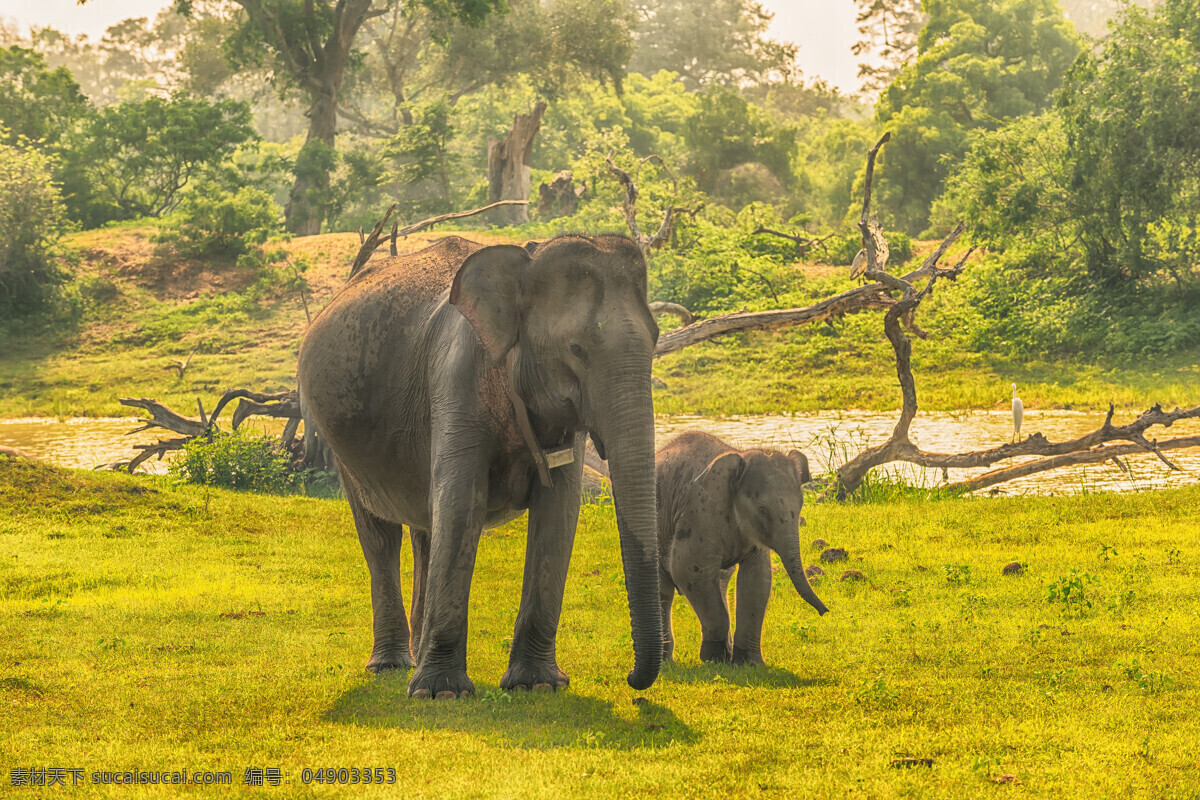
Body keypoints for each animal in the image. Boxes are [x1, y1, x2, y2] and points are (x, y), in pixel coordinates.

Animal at [297, 235, 662, 699]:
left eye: (656, 339)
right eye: (576, 349)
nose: (632, 680)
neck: (525, 263)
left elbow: (559, 513)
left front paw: (538, 686)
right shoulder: (456, 380)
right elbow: (460, 505)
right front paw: (441, 693)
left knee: (425, 529)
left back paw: (416, 653)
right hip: (340, 444)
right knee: (380, 535)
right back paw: (393, 665)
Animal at [655, 431, 828, 666]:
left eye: (800, 506)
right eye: (762, 509)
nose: (825, 612)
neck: (740, 455)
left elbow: (757, 579)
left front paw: (749, 663)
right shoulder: (698, 513)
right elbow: (688, 570)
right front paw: (714, 660)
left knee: (720, 581)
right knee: (664, 589)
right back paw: (666, 662)